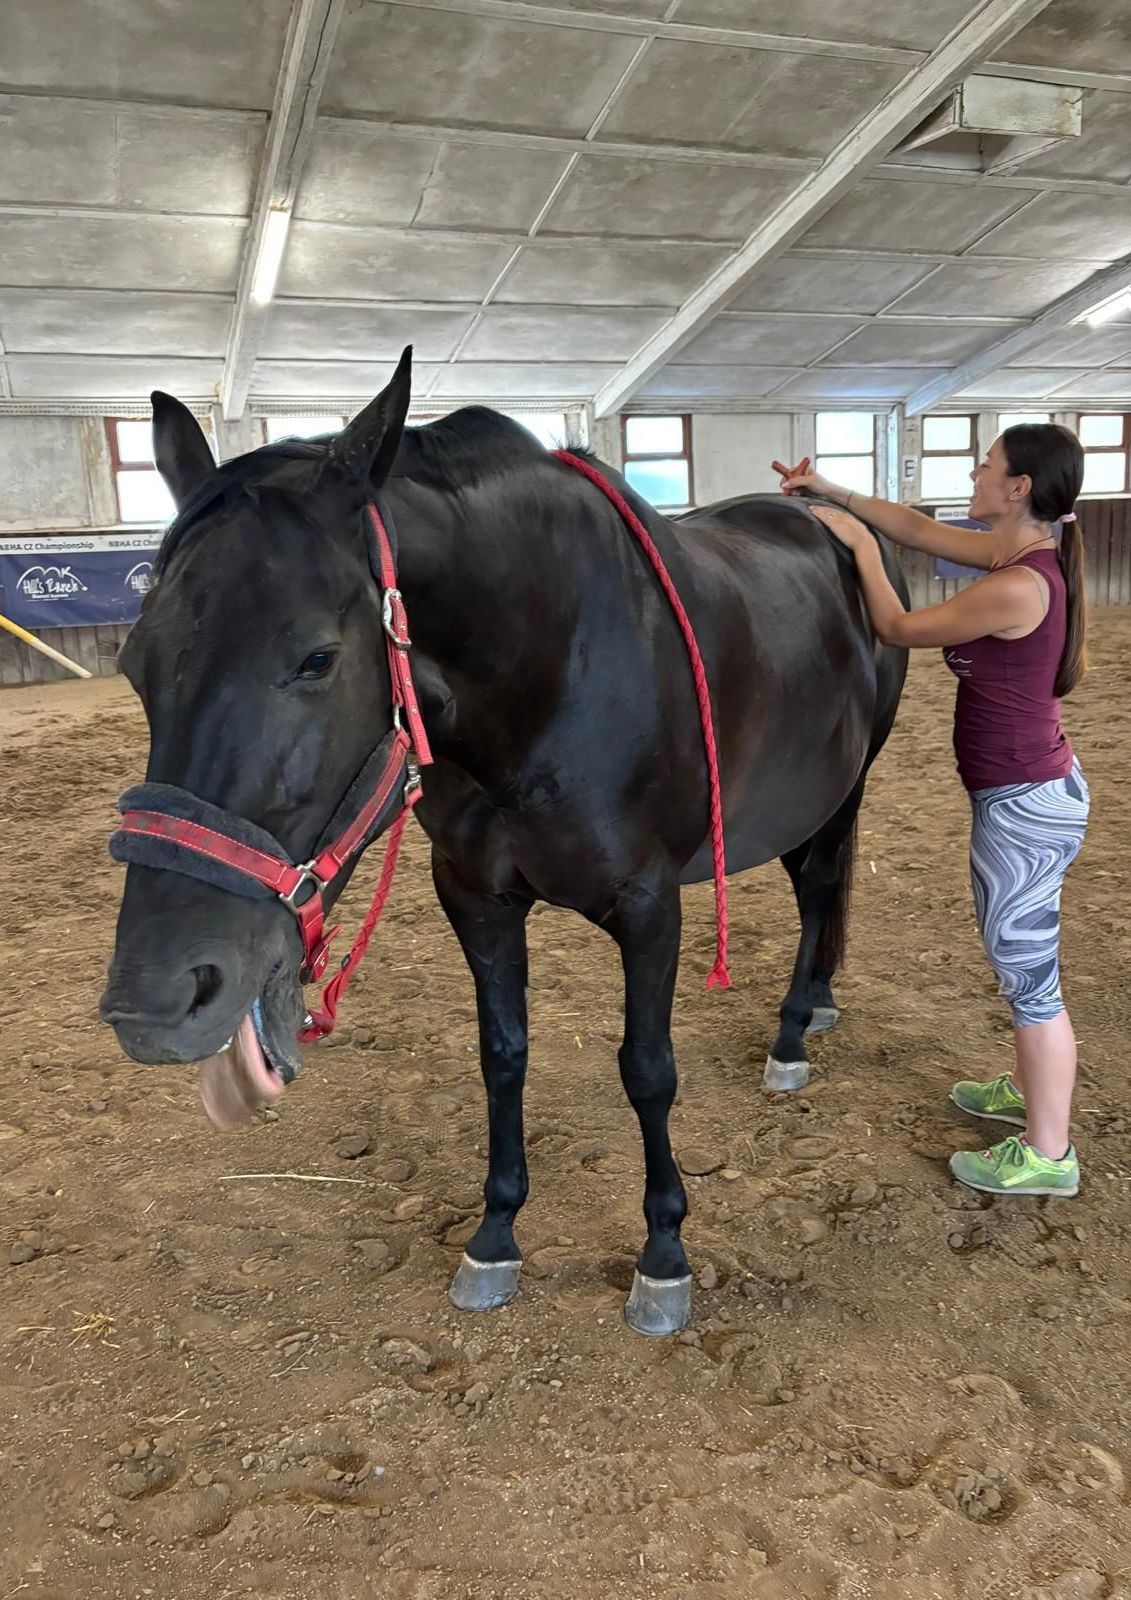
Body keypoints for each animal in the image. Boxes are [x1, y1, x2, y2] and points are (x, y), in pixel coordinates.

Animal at [100, 348, 907, 1336]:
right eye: (136, 663)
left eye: (318, 658)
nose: (153, 1002)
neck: (548, 669)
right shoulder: (475, 898)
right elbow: (502, 1056)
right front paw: (495, 1235)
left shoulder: (649, 909)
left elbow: (647, 1070)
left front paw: (663, 1254)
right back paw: (816, 1005)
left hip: (846, 783)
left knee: (820, 886)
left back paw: (792, 1033)